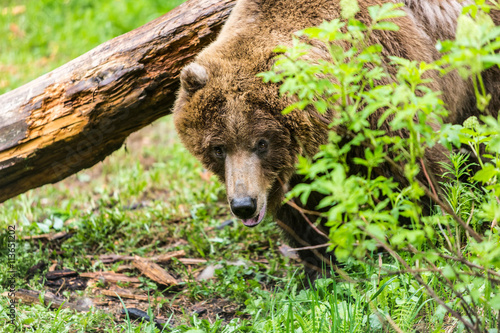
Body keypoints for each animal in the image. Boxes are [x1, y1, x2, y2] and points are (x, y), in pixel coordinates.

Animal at [173, 0, 500, 274]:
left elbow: (413, 168)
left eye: (262, 143)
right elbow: (304, 211)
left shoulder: (383, 85)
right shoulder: (297, 168)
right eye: (218, 148)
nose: (244, 205)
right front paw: (319, 264)